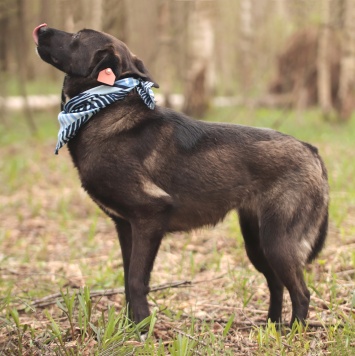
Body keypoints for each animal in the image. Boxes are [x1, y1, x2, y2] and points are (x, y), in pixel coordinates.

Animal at [32, 25, 330, 328]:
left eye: (78, 36)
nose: (41, 28)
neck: (103, 109)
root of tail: (311, 150)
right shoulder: (126, 227)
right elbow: (127, 281)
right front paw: (130, 327)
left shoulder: (150, 216)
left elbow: (137, 281)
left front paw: (142, 329)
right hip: (256, 243)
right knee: (276, 283)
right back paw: (271, 327)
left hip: (277, 242)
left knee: (301, 292)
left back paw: (292, 331)